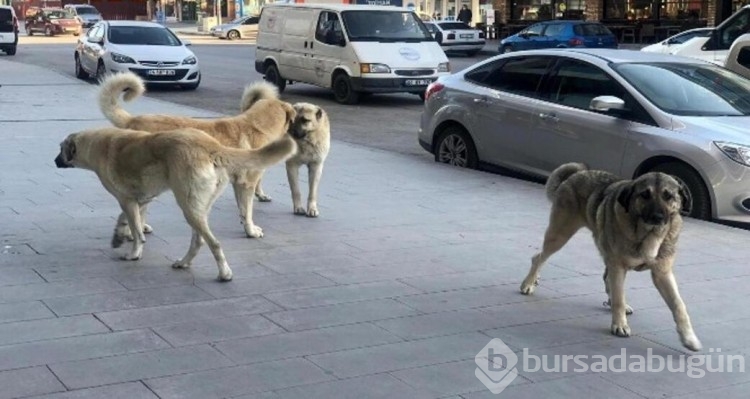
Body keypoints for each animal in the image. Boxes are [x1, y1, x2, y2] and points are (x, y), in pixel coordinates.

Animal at [53, 128, 296, 282]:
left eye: (60, 149)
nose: (54, 161)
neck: (95, 145)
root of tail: (211, 145)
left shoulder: (126, 200)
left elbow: (136, 230)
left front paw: (134, 253)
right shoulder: (141, 198)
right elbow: (128, 220)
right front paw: (119, 236)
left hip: (188, 206)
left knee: (214, 243)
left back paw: (224, 274)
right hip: (197, 207)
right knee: (198, 240)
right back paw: (184, 262)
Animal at [99, 72, 296, 239]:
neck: (257, 126)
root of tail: (132, 120)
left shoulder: (238, 183)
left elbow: (242, 209)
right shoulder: (247, 183)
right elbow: (247, 211)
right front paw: (251, 231)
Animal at [520, 164, 704, 352]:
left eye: (668, 196)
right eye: (645, 194)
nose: (657, 217)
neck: (648, 234)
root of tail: (578, 172)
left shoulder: (662, 274)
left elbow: (678, 305)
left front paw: (689, 338)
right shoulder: (618, 266)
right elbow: (618, 299)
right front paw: (620, 324)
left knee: (607, 279)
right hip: (560, 235)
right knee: (539, 257)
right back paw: (529, 283)